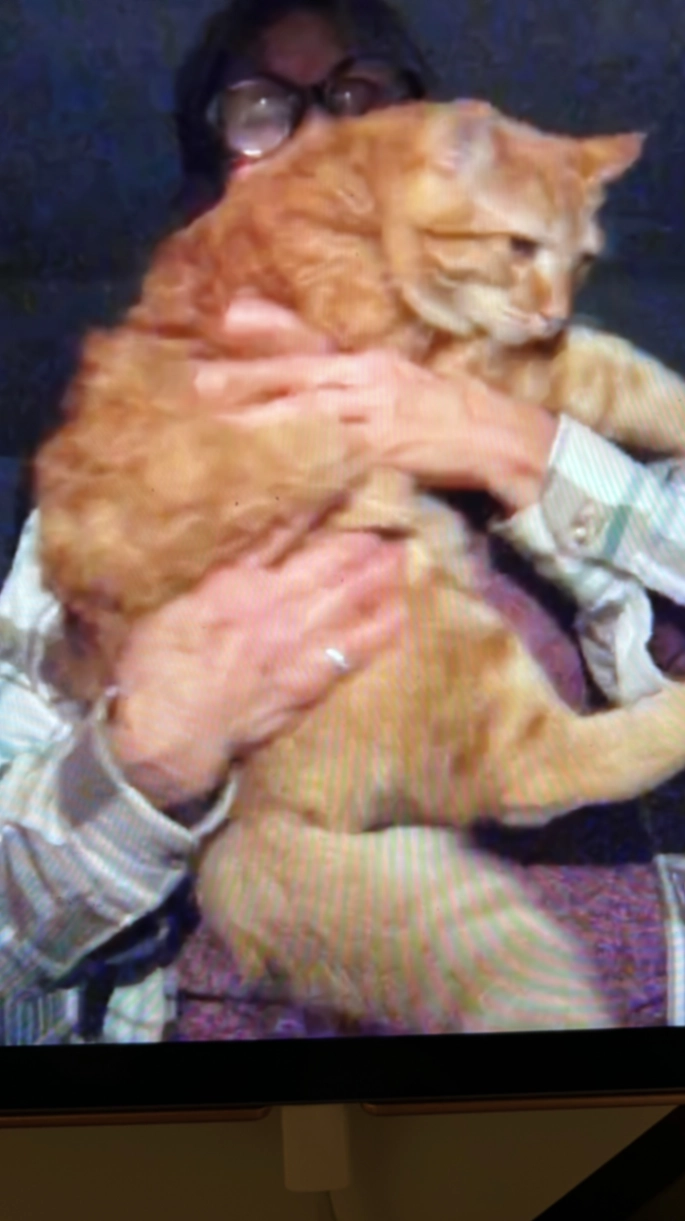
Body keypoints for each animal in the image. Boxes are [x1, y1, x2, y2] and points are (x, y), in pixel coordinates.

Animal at [34, 100, 685, 1034]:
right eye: (519, 247)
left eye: (583, 258)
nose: (552, 310)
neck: (351, 195)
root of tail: (238, 816)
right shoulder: (458, 363)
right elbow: (622, 376)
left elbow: (609, 364)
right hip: (438, 625)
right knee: (536, 769)